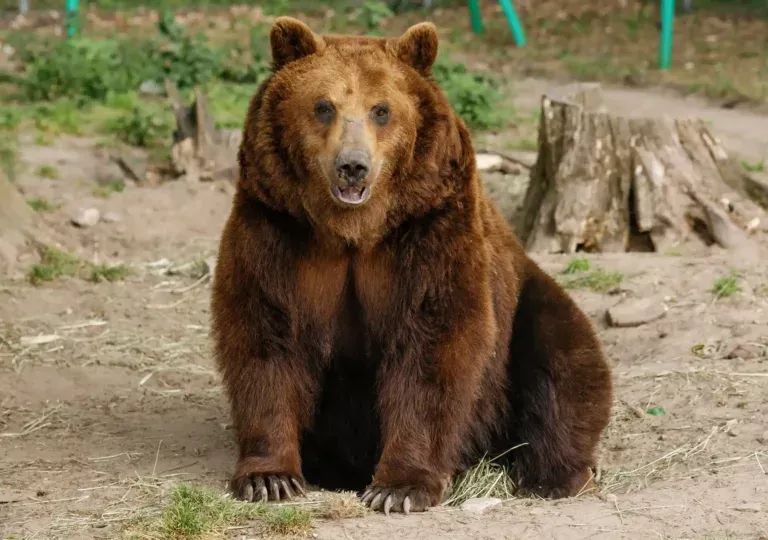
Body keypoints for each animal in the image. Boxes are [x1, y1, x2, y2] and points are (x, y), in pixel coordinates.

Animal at [210, 16, 613, 515]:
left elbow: (434, 344)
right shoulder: (277, 226)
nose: (353, 166)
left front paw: (399, 487)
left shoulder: (428, 227)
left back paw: (553, 475)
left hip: (528, 301)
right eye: (323, 106)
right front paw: (270, 478)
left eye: (381, 110)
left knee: (563, 362)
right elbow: (265, 334)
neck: (354, 232)